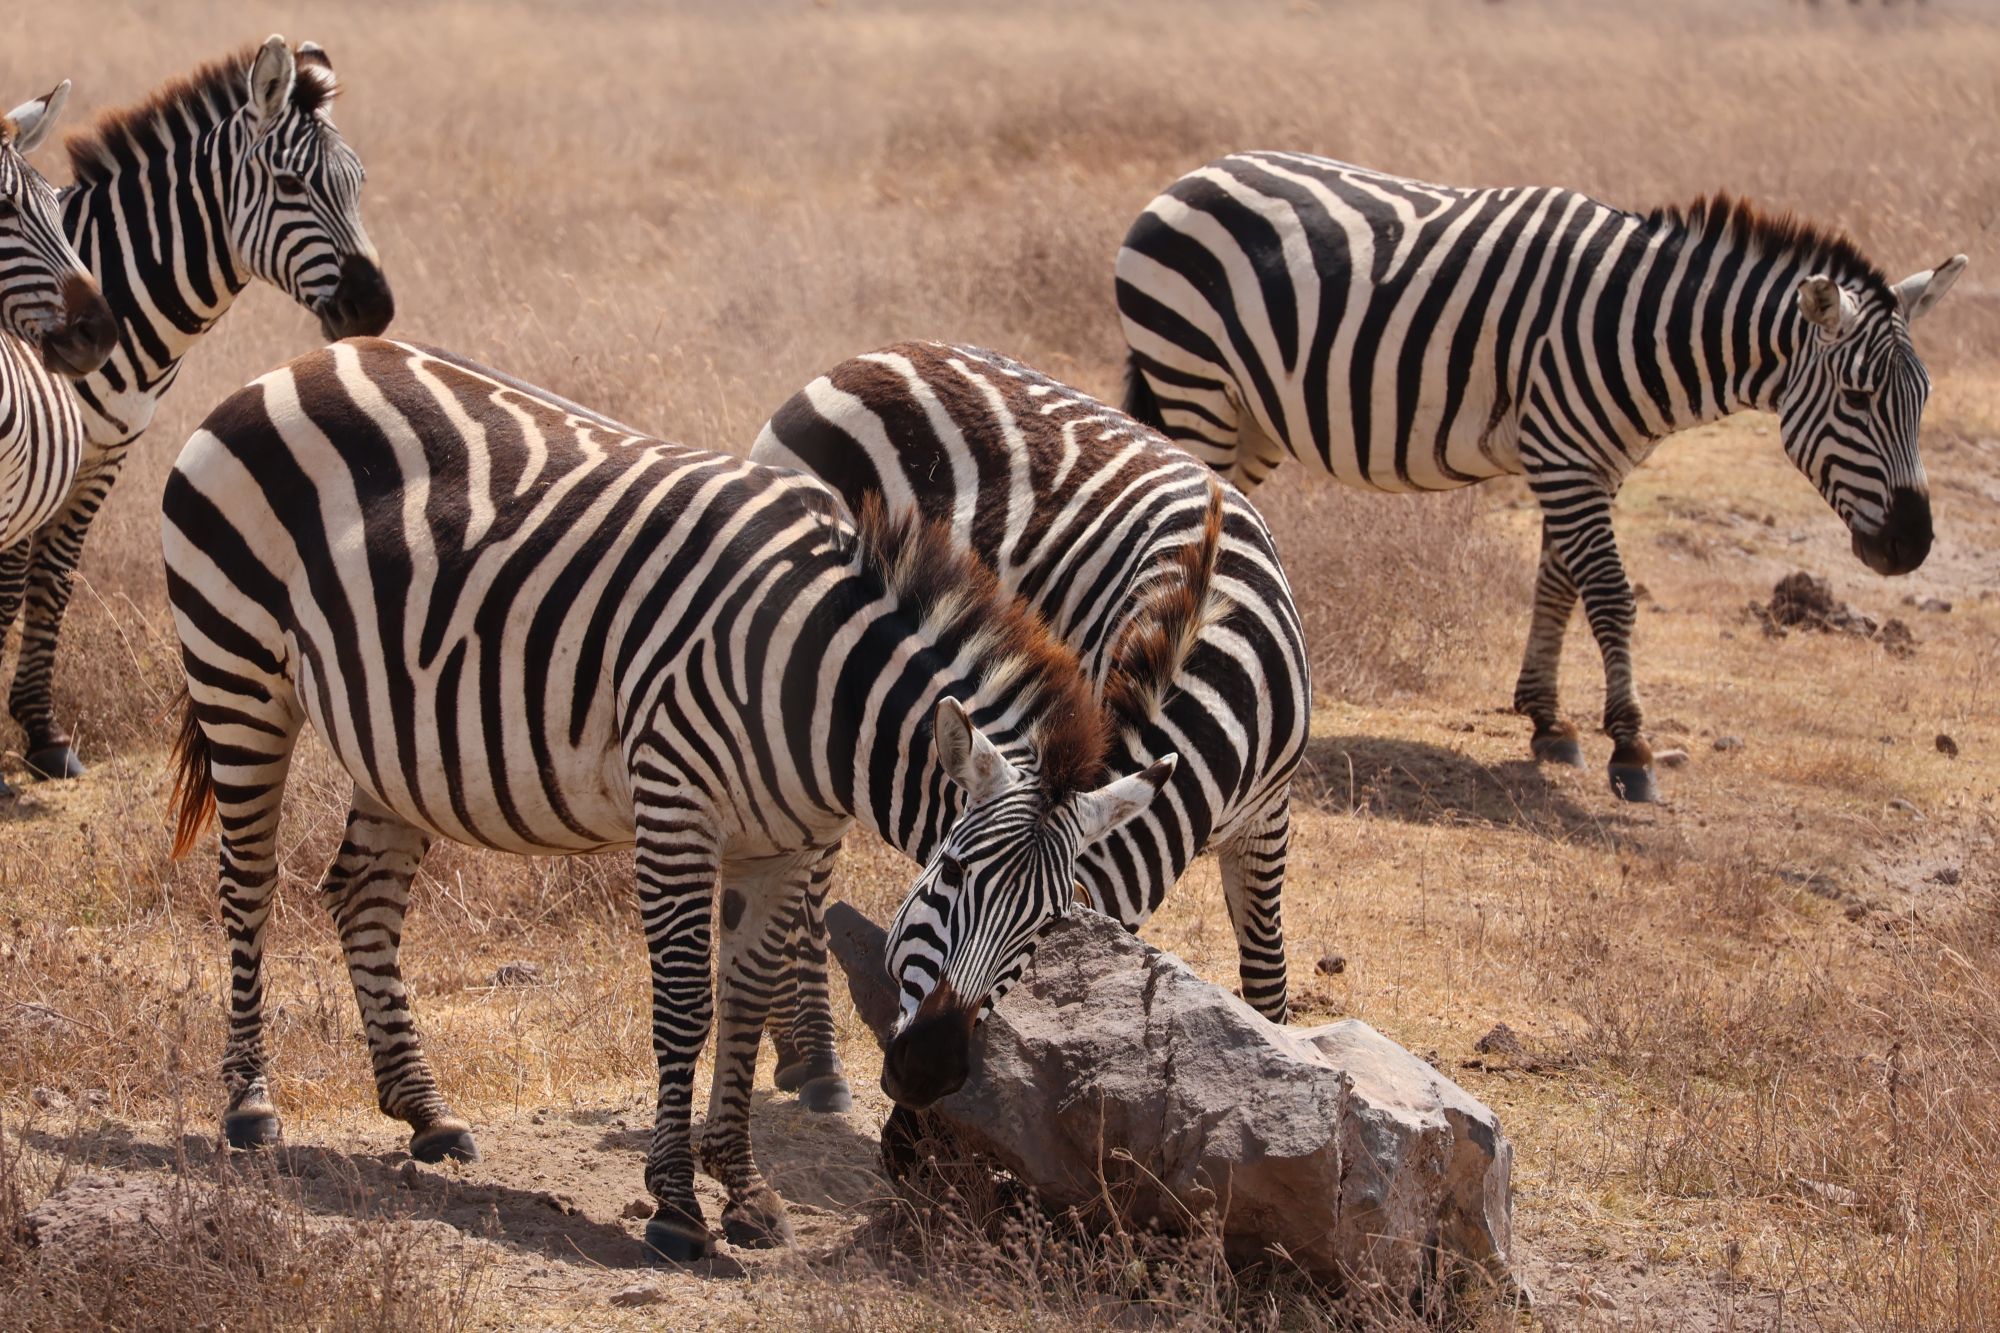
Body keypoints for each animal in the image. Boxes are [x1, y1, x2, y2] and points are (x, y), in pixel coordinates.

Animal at [0, 35, 391, 784]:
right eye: (290, 186)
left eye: (358, 184)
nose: (375, 309)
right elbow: (8, 587)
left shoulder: (104, 455)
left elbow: (52, 583)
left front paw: (42, 733)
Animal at [163, 338, 1187, 1261]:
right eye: (952, 873)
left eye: (1049, 924)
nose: (930, 1068)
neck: (819, 689)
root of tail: (300, 362)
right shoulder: (676, 808)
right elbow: (687, 1004)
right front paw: (676, 1207)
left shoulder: (783, 842)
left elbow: (745, 1001)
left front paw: (744, 1189)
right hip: (238, 666)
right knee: (249, 885)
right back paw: (250, 1104)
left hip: (395, 737)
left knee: (363, 895)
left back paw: (426, 1112)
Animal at [750, 340, 1309, 1112]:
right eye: (949, 874)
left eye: (1048, 926)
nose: (926, 1073)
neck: (1219, 647)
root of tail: (876, 355)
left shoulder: (1268, 817)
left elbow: (1266, 986)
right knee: (803, 884)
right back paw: (816, 1062)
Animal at [1117, 152, 1967, 801]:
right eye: (1857, 397)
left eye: (1923, 398)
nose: (1912, 545)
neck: (1642, 325)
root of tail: (1189, 177)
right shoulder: (1565, 456)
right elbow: (1612, 595)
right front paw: (1631, 748)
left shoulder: (1593, 462)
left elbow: (1558, 582)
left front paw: (1548, 721)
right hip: (1194, 381)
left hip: (1248, 417)